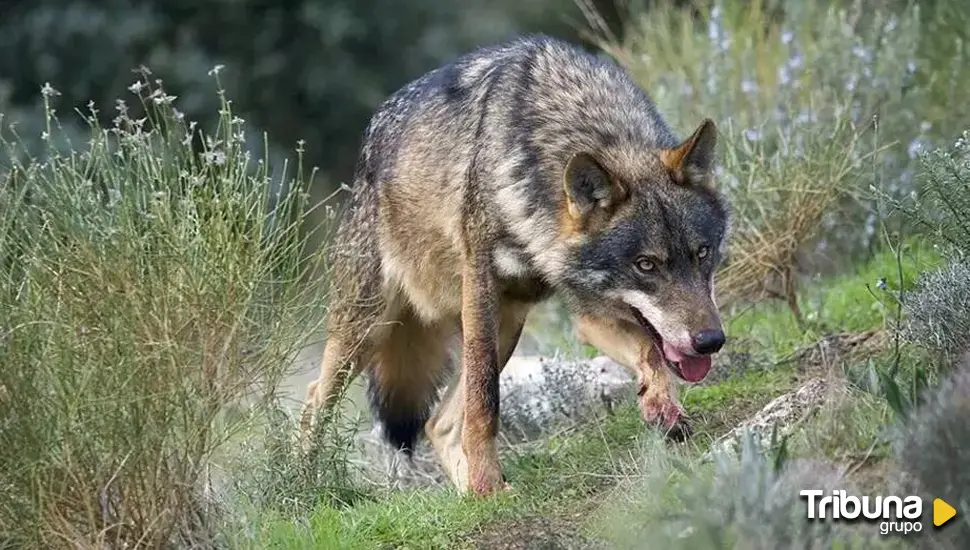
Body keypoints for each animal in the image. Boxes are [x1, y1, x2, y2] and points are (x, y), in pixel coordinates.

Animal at [298, 35, 728, 500]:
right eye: (646, 265)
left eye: (702, 253)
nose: (710, 341)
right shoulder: (481, 287)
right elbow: (484, 403)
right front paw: (487, 479)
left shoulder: (588, 312)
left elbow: (650, 351)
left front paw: (662, 407)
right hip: (370, 331)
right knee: (314, 400)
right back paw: (302, 488)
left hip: (507, 323)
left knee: (438, 423)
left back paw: (474, 496)